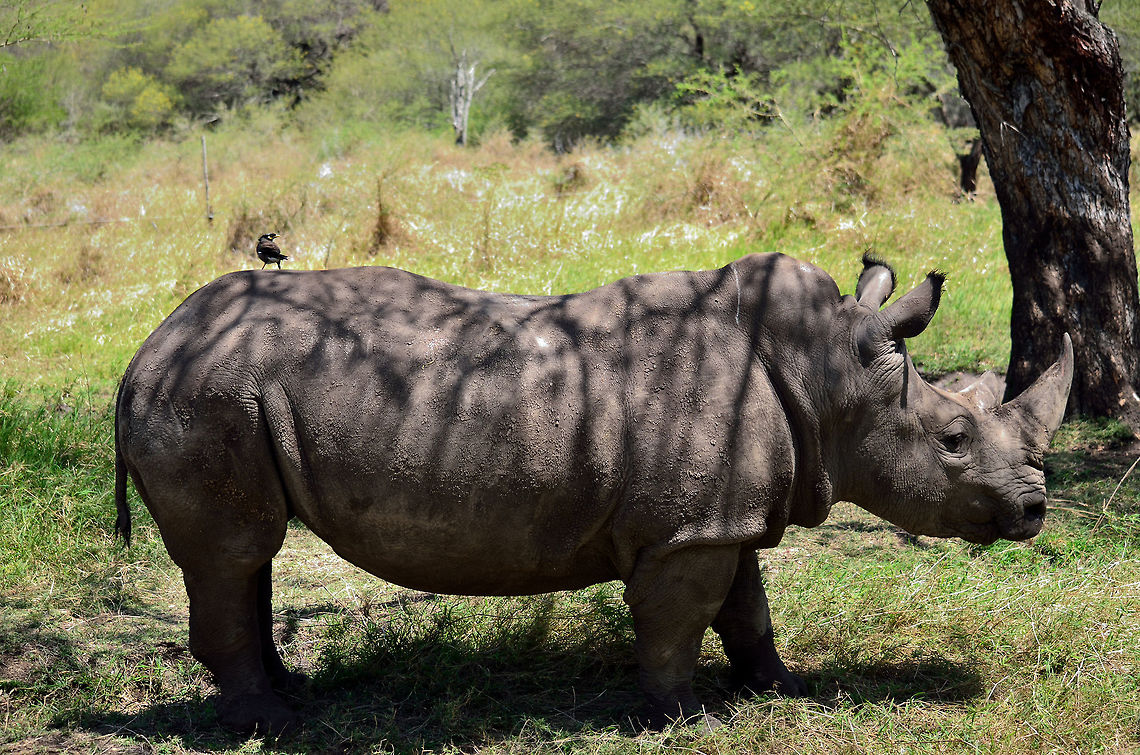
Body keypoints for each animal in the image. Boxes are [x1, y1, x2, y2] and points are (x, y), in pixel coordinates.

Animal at [113, 252, 1073, 732]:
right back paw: (268, 725)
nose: (1033, 511)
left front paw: (784, 690)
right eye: (953, 441)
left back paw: (291, 697)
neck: (828, 374)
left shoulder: (718, 514)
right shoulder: (690, 527)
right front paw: (687, 718)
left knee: (249, 556)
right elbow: (681, 618)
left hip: (221, 390)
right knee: (234, 551)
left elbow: (748, 607)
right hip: (207, 392)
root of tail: (145, 349)